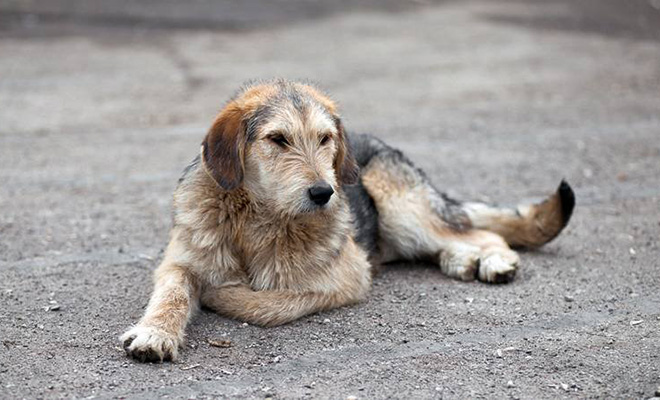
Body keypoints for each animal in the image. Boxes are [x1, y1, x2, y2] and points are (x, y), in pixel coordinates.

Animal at [121, 79, 576, 362]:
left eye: (325, 139)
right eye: (277, 139)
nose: (324, 193)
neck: (257, 217)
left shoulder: (349, 276)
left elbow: (270, 302)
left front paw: (224, 295)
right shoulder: (180, 261)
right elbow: (173, 293)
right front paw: (155, 332)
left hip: (402, 208)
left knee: (477, 231)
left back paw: (493, 260)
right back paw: (461, 260)